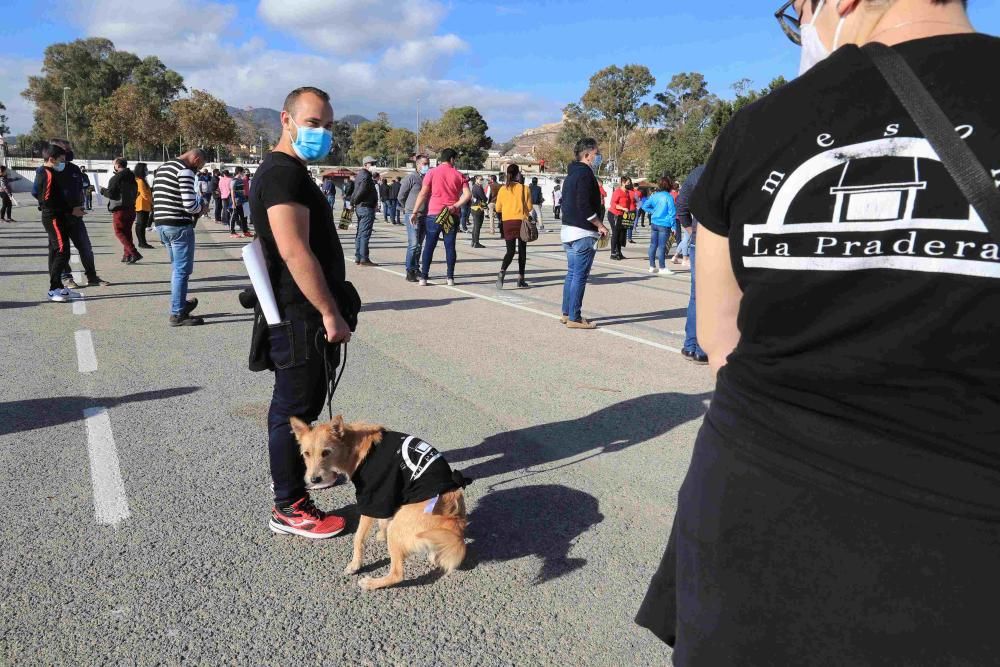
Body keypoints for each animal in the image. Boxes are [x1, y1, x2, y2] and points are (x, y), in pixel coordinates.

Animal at [292, 414, 470, 592]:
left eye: (326, 452)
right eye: (306, 454)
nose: (314, 479)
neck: (352, 445)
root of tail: (454, 522)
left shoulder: (373, 497)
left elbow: (358, 538)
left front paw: (355, 564)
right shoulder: (388, 494)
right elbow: (382, 520)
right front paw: (380, 534)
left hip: (397, 529)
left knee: (397, 574)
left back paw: (371, 583)